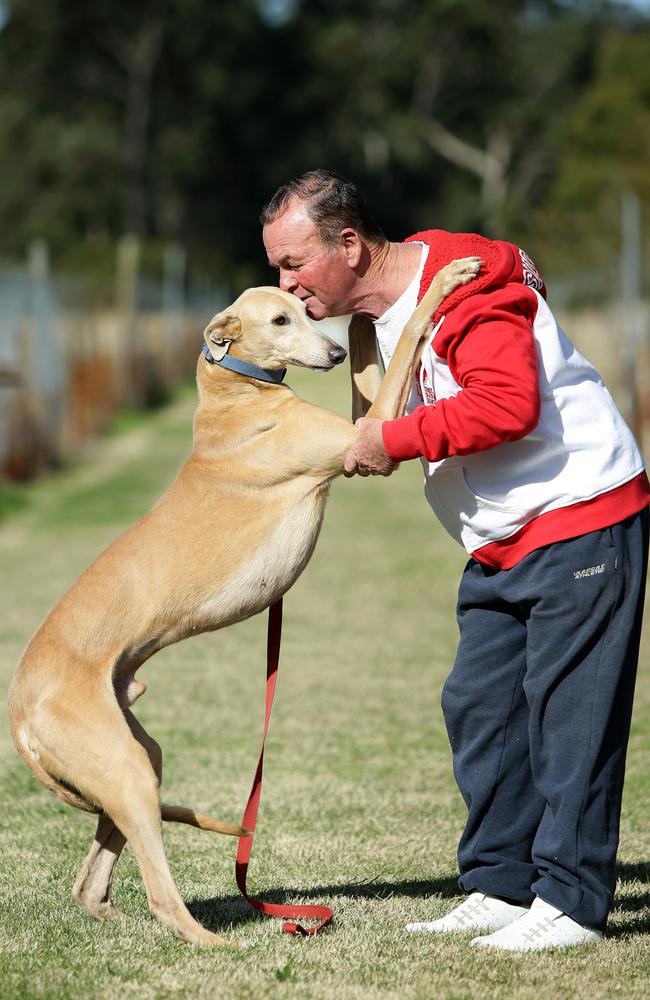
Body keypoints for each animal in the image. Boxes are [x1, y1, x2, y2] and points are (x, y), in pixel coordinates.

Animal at [7, 256, 478, 944]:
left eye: (305, 311)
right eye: (279, 320)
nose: (331, 352)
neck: (236, 394)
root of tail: (18, 712)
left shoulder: (365, 426)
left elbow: (374, 362)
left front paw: (365, 313)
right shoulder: (363, 440)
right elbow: (413, 329)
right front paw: (444, 280)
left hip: (137, 758)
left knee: (92, 878)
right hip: (124, 771)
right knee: (160, 892)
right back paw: (212, 942)